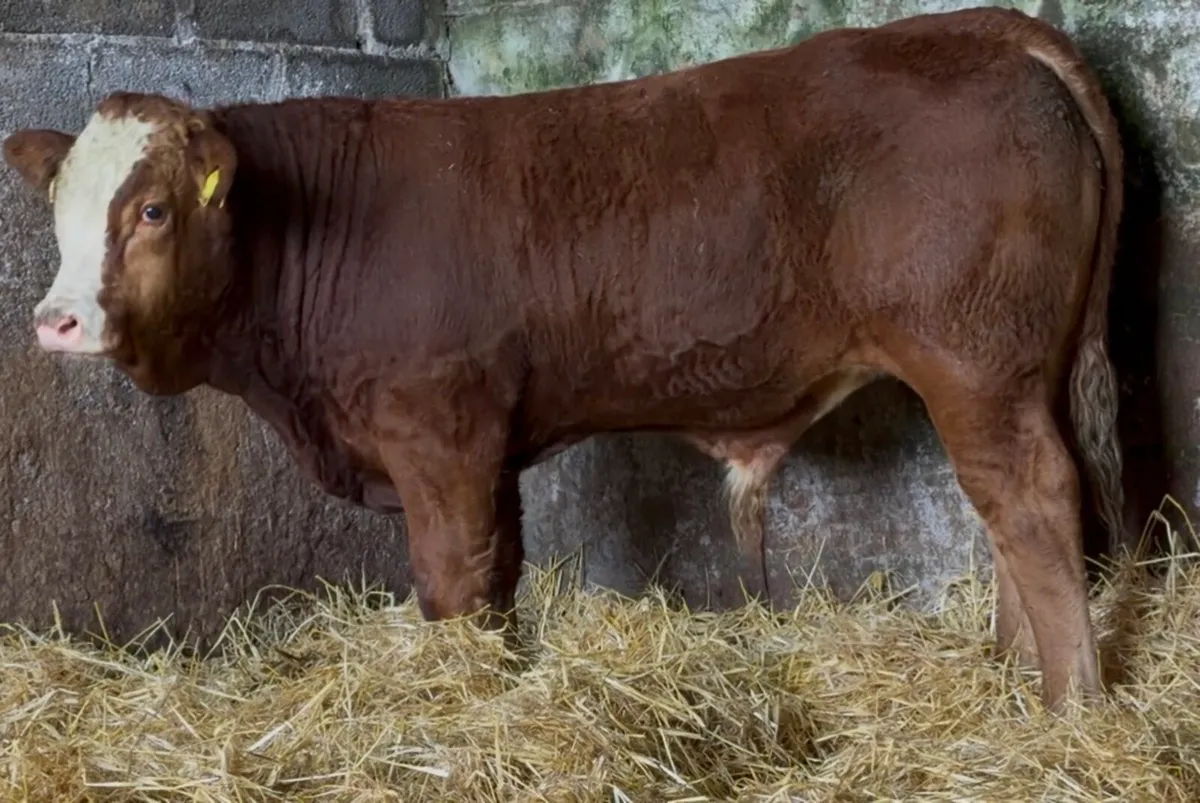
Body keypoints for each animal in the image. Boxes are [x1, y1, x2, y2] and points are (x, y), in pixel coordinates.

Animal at [2, 5, 1125, 712]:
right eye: (56, 207)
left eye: (152, 209)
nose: (55, 321)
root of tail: (973, 28)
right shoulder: (490, 441)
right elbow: (499, 576)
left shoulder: (439, 429)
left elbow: (453, 581)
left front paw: (462, 704)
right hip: (1011, 373)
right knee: (1011, 515)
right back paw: (1012, 675)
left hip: (975, 363)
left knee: (1034, 501)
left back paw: (1067, 706)